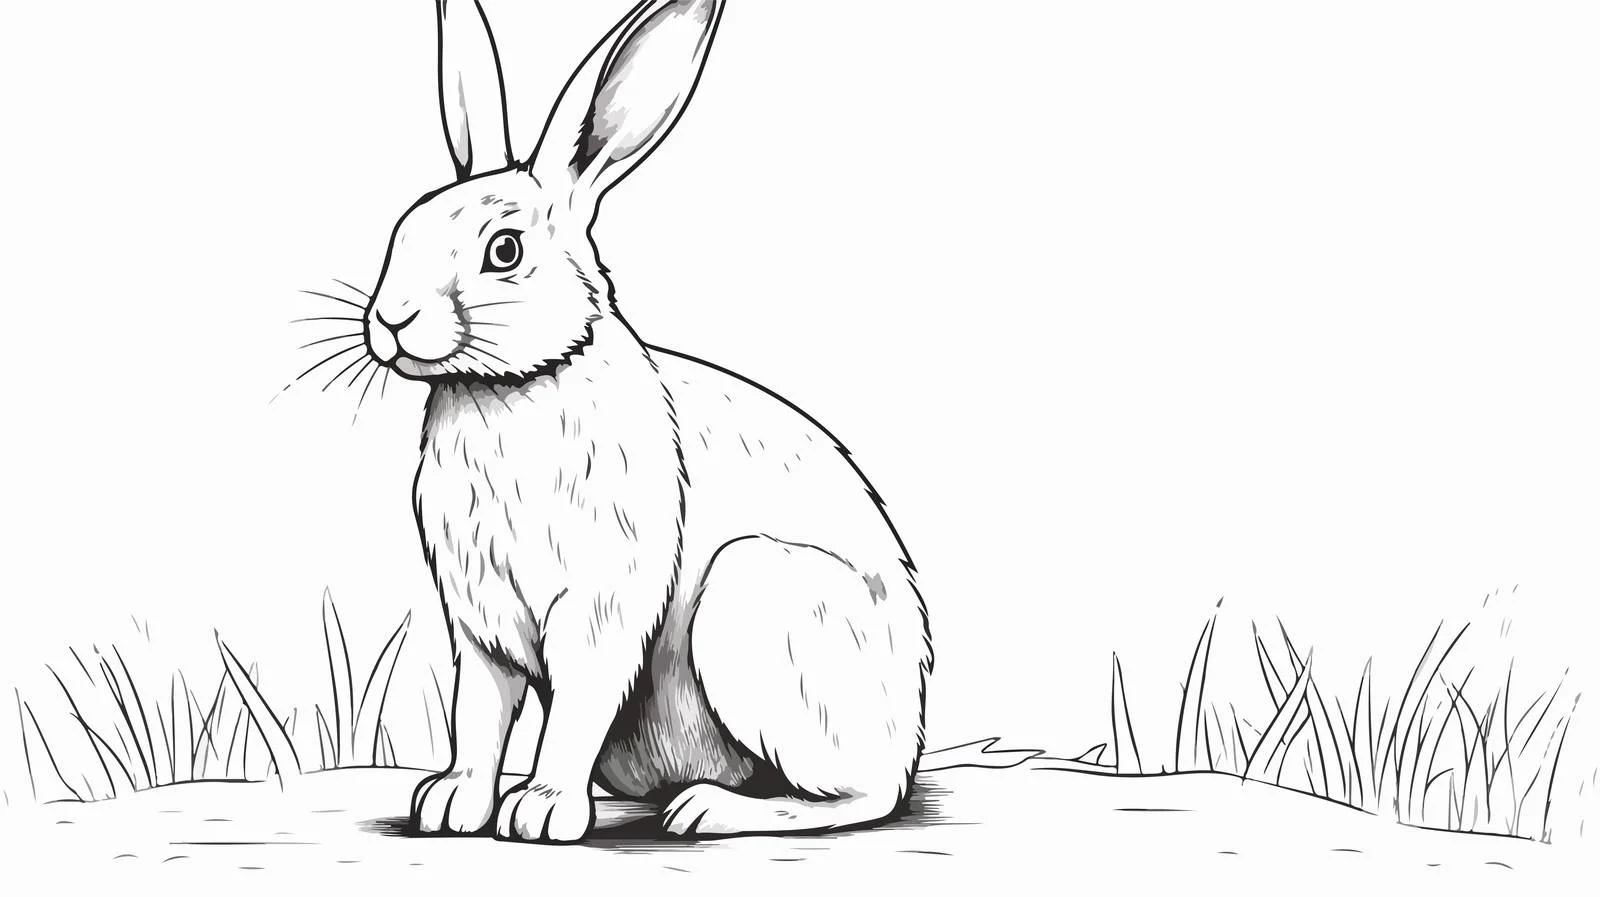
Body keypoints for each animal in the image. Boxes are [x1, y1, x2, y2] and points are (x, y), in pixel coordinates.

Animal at [360, 0, 931, 842]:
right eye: (404, 230)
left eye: (505, 250)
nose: (392, 319)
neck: (514, 384)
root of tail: (907, 730)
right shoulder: (479, 620)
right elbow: (480, 713)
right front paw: (451, 803)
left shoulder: (601, 605)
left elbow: (575, 705)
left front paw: (544, 810)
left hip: (756, 600)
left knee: (862, 798)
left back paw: (706, 809)